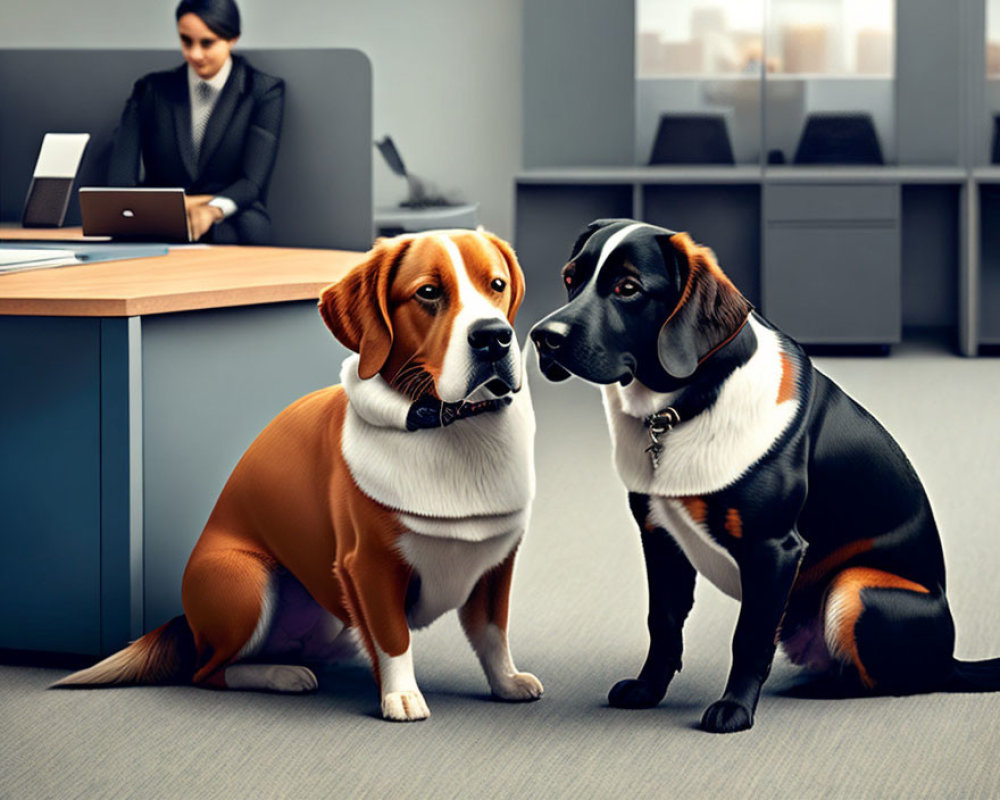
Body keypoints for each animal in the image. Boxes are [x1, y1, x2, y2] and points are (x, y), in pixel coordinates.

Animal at [56, 228, 540, 720]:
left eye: (496, 285)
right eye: (428, 292)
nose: (494, 338)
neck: (451, 426)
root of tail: (186, 623)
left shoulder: (497, 564)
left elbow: (492, 633)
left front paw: (505, 682)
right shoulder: (368, 565)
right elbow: (393, 636)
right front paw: (401, 695)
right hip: (246, 581)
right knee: (208, 671)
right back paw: (281, 675)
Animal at [532, 217, 1000, 732]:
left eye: (628, 288)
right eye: (571, 278)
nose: (542, 337)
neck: (685, 403)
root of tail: (951, 658)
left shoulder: (773, 549)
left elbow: (749, 637)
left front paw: (734, 708)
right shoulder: (660, 537)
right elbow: (663, 623)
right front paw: (648, 689)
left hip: (854, 586)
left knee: (892, 679)